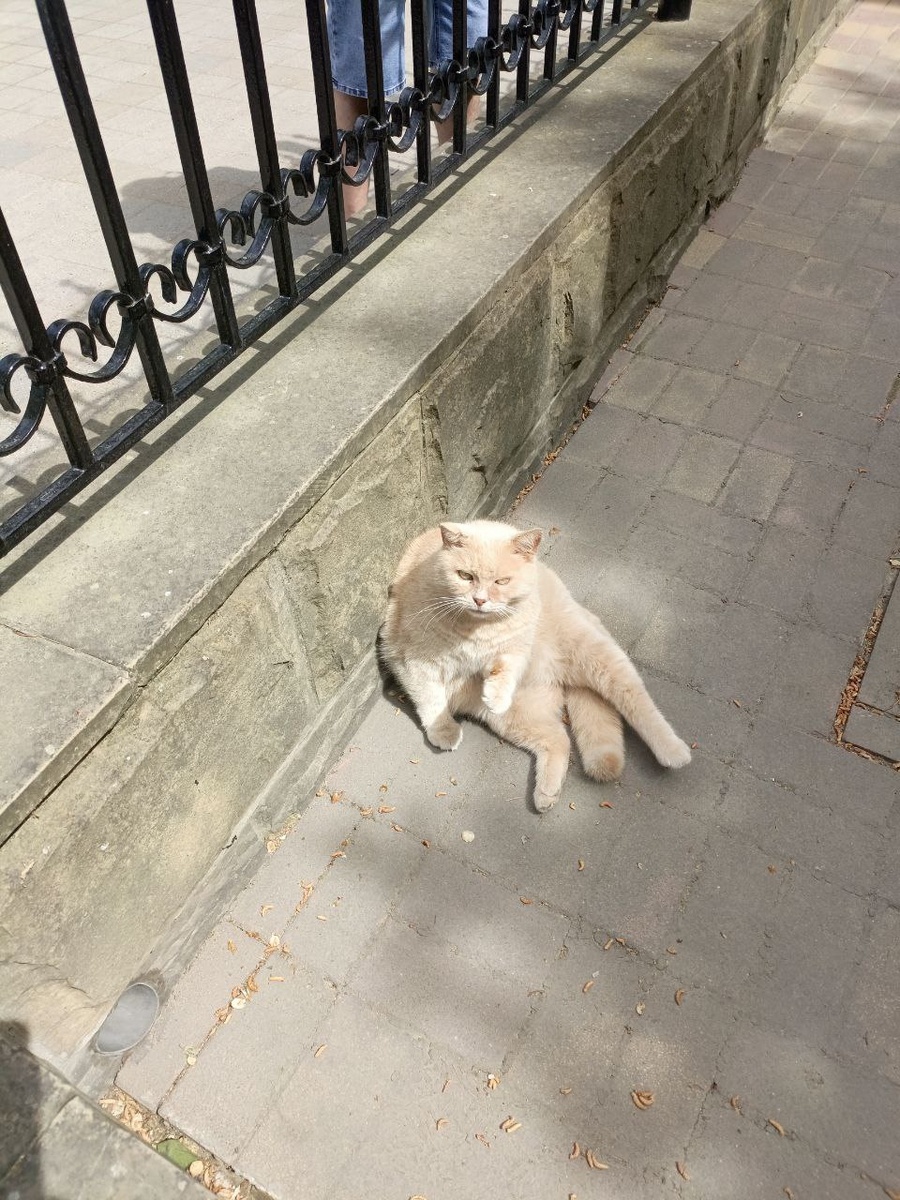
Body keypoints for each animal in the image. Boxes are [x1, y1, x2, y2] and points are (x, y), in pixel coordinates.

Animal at [381, 519, 691, 810]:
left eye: (502, 582)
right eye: (465, 576)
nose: (479, 600)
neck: (477, 631)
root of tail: (557, 677)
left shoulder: (517, 646)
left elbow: (507, 663)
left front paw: (495, 692)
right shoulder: (413, 660)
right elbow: (431, 700)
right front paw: (444, 730)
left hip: (595, 656)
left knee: (636, 699)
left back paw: (673, 751)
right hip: (517, 716)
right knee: (559, 739)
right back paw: (546, 794)